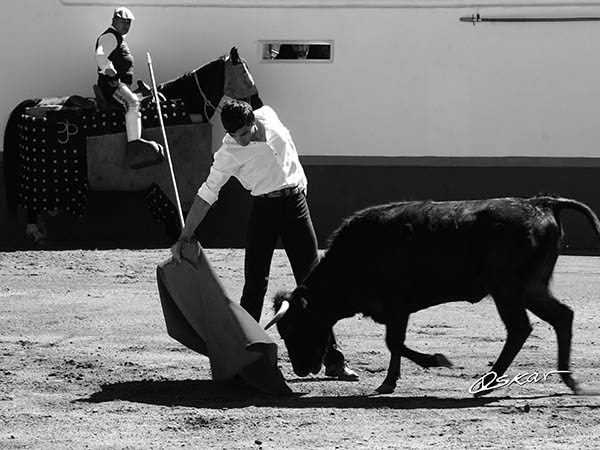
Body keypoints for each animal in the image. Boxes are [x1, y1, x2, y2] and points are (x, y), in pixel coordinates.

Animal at [3, 47, 262, 248]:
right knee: (34, 203)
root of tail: (36, 104)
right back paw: (38, 233)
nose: (258, 103)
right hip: (43, 181)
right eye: (245, 72)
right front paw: (180, 233)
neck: (187, 105)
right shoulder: (176, 181)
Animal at [270, 195, 600, 396]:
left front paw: (437, 360)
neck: (355, 256)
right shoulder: (396, 310)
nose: (300, 370)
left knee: (520, 328)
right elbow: (395, 344)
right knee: (562, 316)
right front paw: (388, 383)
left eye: (294, 327)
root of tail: (542, 203)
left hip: (507, 289)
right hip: (532, 288)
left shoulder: (396, 305)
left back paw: (486, 384)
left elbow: (394, 342)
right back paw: (571, 380)